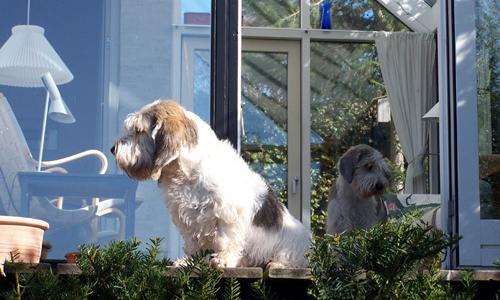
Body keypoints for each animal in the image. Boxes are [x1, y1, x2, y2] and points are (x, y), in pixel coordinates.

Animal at [111, 99, 310, 268]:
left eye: (139, 130)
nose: (113, 149)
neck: (188, 173)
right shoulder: (188, 216)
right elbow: (192, 243)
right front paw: (188, 262)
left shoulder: (227, 213)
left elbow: (226, 240)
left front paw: (223, 260)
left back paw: (276, 264)